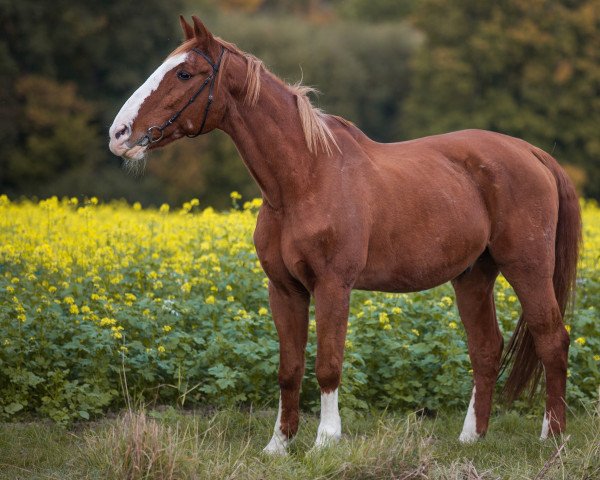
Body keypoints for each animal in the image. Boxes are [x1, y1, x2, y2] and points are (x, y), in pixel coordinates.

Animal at [109, 15, 580, 454]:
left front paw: (325, 440)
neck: (306, 178)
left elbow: (328, 365)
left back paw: (553, 436)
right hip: (473, 276)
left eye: (185, 74)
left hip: (527, 267)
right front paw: (279, 444)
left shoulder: (333, 285)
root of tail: (531, 152)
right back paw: (471, 437)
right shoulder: (284, 289)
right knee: (486, 349)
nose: (119, 134)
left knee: (552, 339)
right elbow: (289, 368)